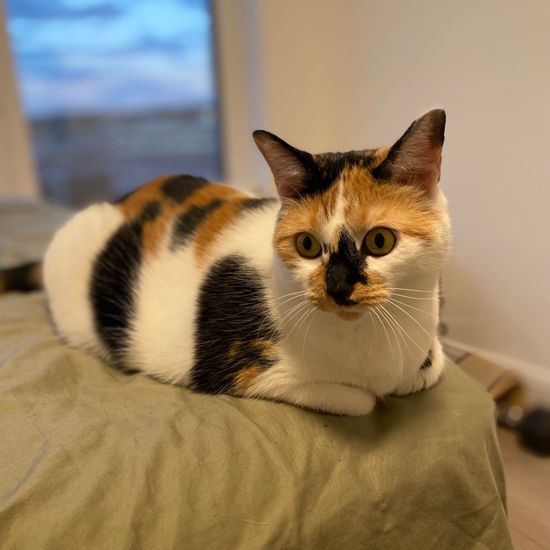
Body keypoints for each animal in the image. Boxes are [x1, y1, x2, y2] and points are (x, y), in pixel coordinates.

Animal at [2, 110, 452, 416]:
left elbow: (429, 368)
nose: (338, 286)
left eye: (380, 241)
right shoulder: (247, 372)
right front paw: (372, 393)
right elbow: (360, 400)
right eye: (307, 245)